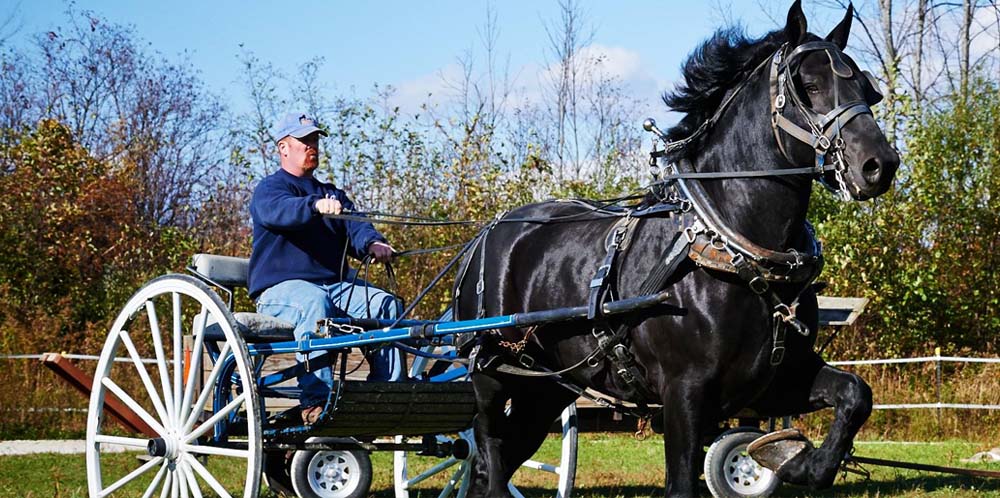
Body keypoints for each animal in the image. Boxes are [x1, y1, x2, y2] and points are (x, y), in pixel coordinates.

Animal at [458, 1, 904, 496]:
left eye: (866, 88)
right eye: (808, 87)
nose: (880, 165)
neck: (733, 253)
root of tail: (488, 234)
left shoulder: (776, 379)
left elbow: (855, 394)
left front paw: (795, 462)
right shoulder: (684, 393)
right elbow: (682, 483)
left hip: (547, 387)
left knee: (498, 458)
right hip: (492, 373)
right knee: (487, 447)